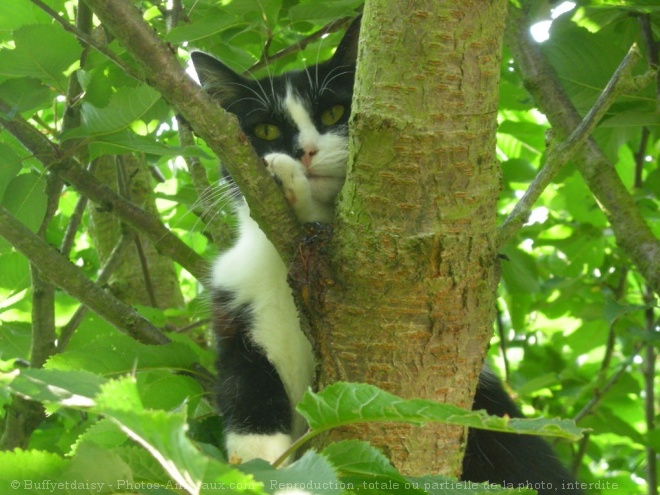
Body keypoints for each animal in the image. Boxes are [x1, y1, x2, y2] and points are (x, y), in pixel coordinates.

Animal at [192, 18, 584, 492]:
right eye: (265, 130)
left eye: (334, 114)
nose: (303, 152)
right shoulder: (239, 306)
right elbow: (245, 386)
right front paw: (258, 466)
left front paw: (285, 180)